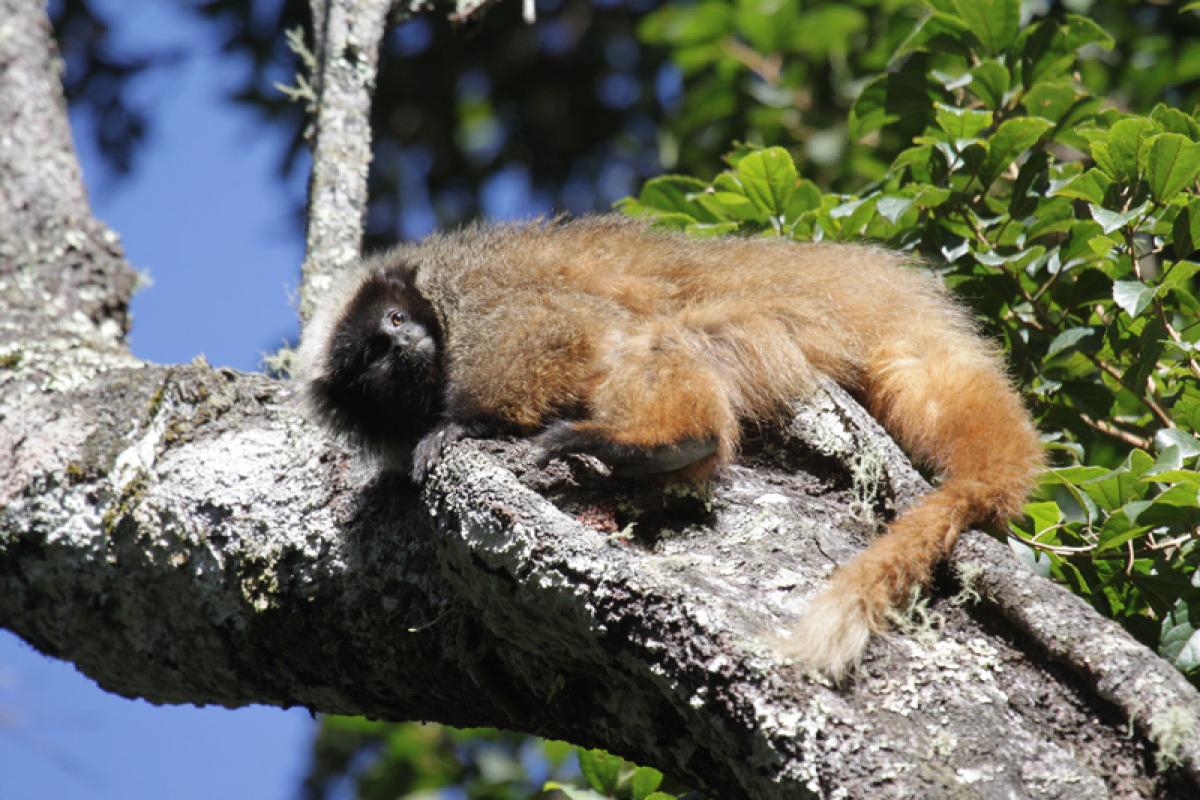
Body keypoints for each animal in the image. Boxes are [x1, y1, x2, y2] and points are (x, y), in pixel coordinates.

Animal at [295, 215, 1046, 681]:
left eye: (397, 319)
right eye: (371, 353)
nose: (402, 344)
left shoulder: (474, 296)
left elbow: (554, 330)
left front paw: (467, 425)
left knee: (644, 335)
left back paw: (665, 439)